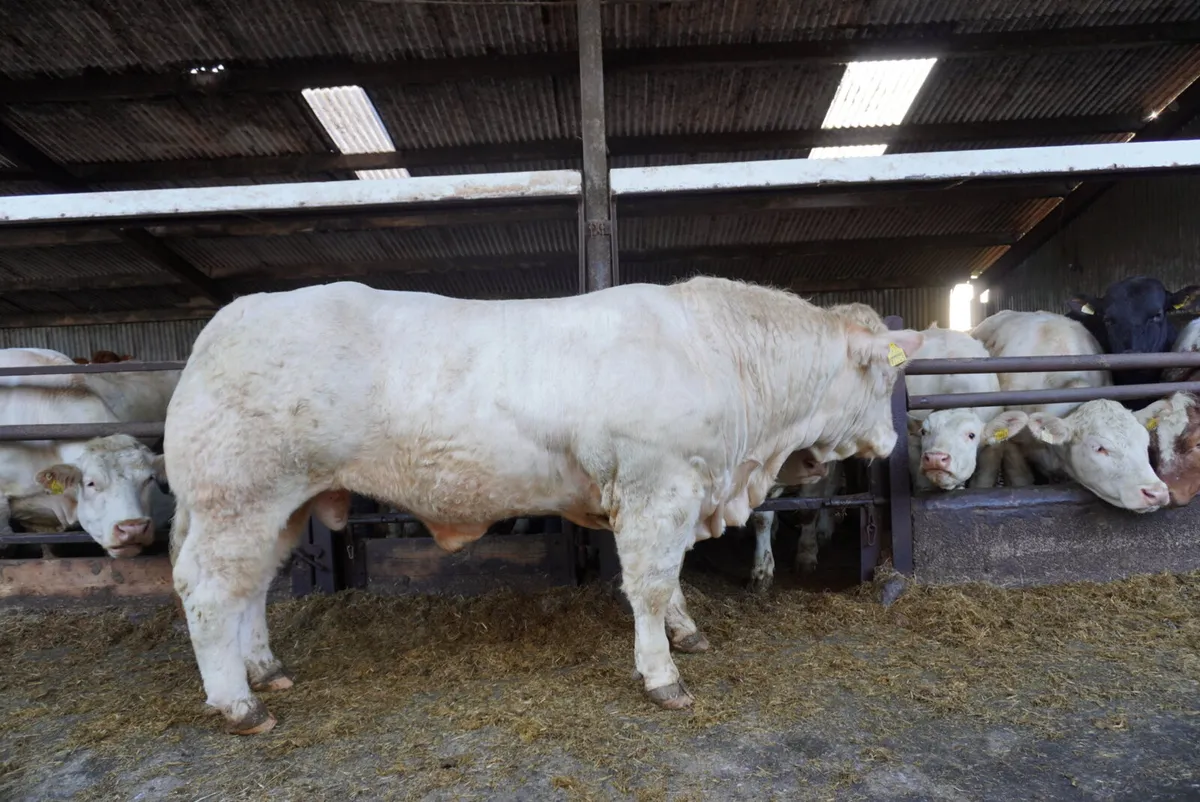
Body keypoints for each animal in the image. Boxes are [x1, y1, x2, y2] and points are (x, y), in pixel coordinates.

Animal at [163, 277, 924, 735]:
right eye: (885, 376)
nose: (891, 442)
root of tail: (228, 319)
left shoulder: (674, 493)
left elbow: (671, 577)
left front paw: (686, 631)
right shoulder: (658, 485)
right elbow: (650, 583)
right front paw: (662, 674)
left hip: (281, 507)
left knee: (253, 589)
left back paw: (266, 669)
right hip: (239, 498)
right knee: (209, 592)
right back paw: (238, 702)